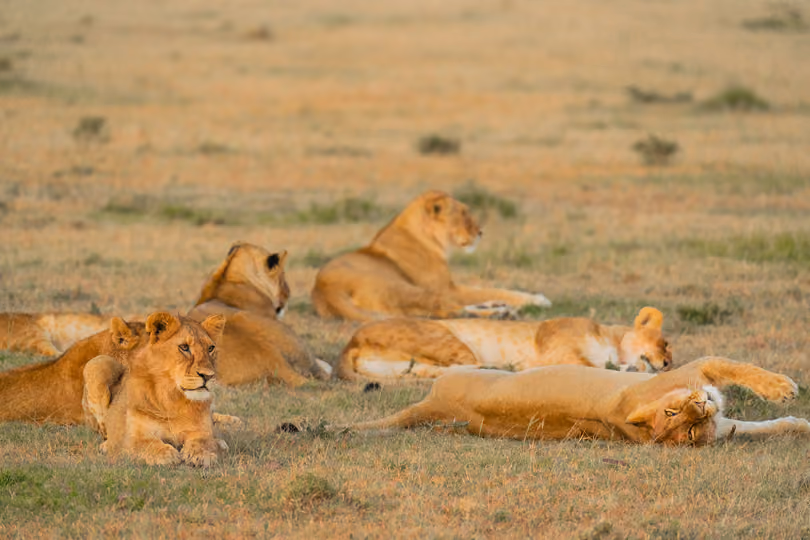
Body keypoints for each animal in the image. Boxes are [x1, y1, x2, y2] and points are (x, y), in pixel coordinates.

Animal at [83, 312, 239, 466]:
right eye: (184, 347)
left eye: (210, 348)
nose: (208, 376)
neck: (173, 397)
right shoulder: (131, 437)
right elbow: (147, 444)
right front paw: (167, 454)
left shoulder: (201, 430)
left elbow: (204, 441)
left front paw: (203, 454)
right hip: (98, 363)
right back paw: (105, 446)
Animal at [311, 190, 552, 321]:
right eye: (463, 214)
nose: (481, 232)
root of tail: (325, 290)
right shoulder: (447, 288)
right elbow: (492, 289)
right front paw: (539, 299)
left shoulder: (450, 287)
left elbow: (485, 290)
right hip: (410, 290)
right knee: (447, 311)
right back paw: (502, 313)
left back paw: (497, 307)